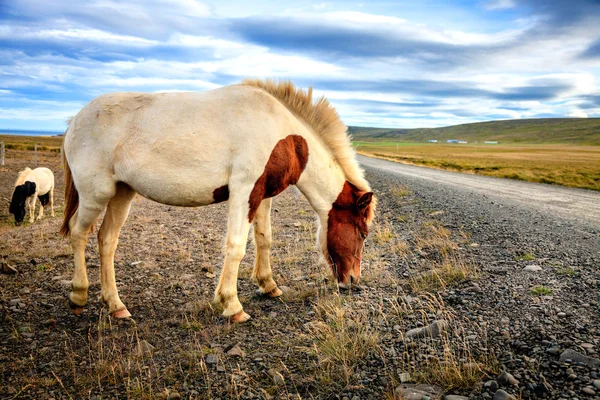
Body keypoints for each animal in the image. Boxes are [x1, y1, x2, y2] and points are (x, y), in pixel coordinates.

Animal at [59, 79, 376, 324]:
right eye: (362, 233)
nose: (353, 281)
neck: (281, 133)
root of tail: (75, 120)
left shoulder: (261, 196)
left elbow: (264, 239)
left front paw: (268, 286)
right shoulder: (244, 191)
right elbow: (236, 247)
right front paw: (232, 306)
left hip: (122, 193)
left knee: (106, 240)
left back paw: (116, 306)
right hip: (96, 194)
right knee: (77, 233)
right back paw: (78, 296)